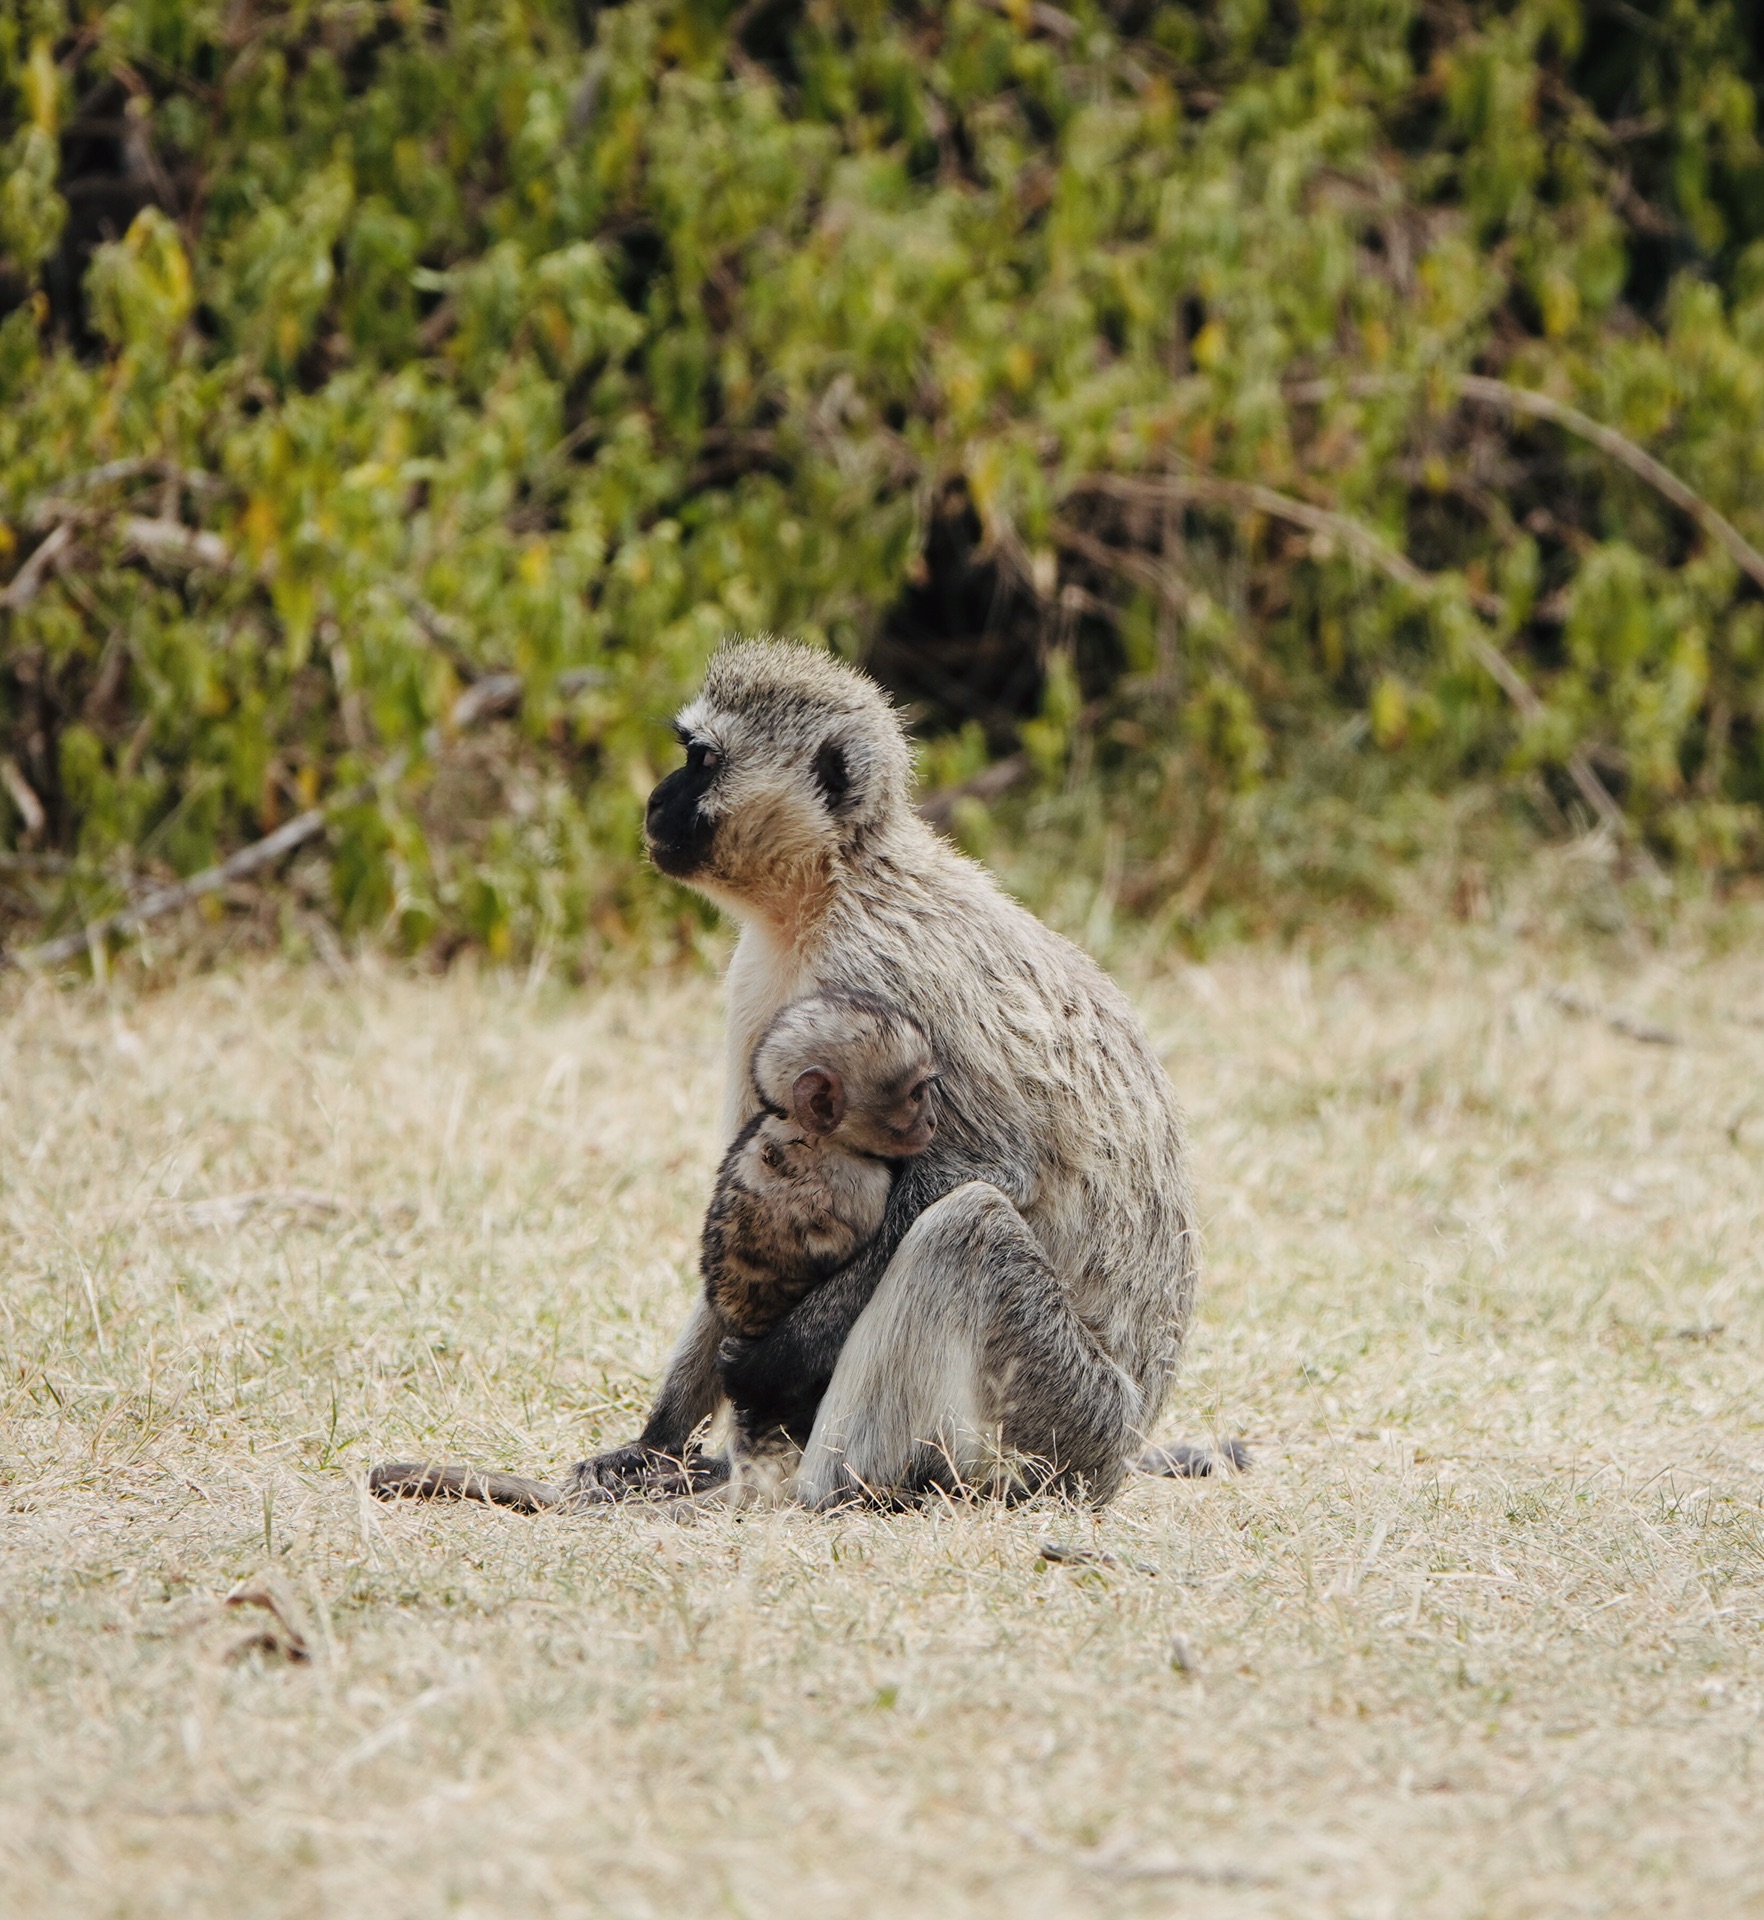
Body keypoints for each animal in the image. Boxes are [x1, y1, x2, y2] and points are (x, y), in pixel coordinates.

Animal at [572, 637, 1205, 1505]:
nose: (655, 801)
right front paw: (653, 1444)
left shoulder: (883, 976)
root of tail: (1124, 1446)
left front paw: (778, 1358)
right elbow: (742, 1180)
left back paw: (821, 1490)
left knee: (968, 1231)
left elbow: (993, 1166)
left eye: (701, 760)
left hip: (1062, 1423)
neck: (838, 882)